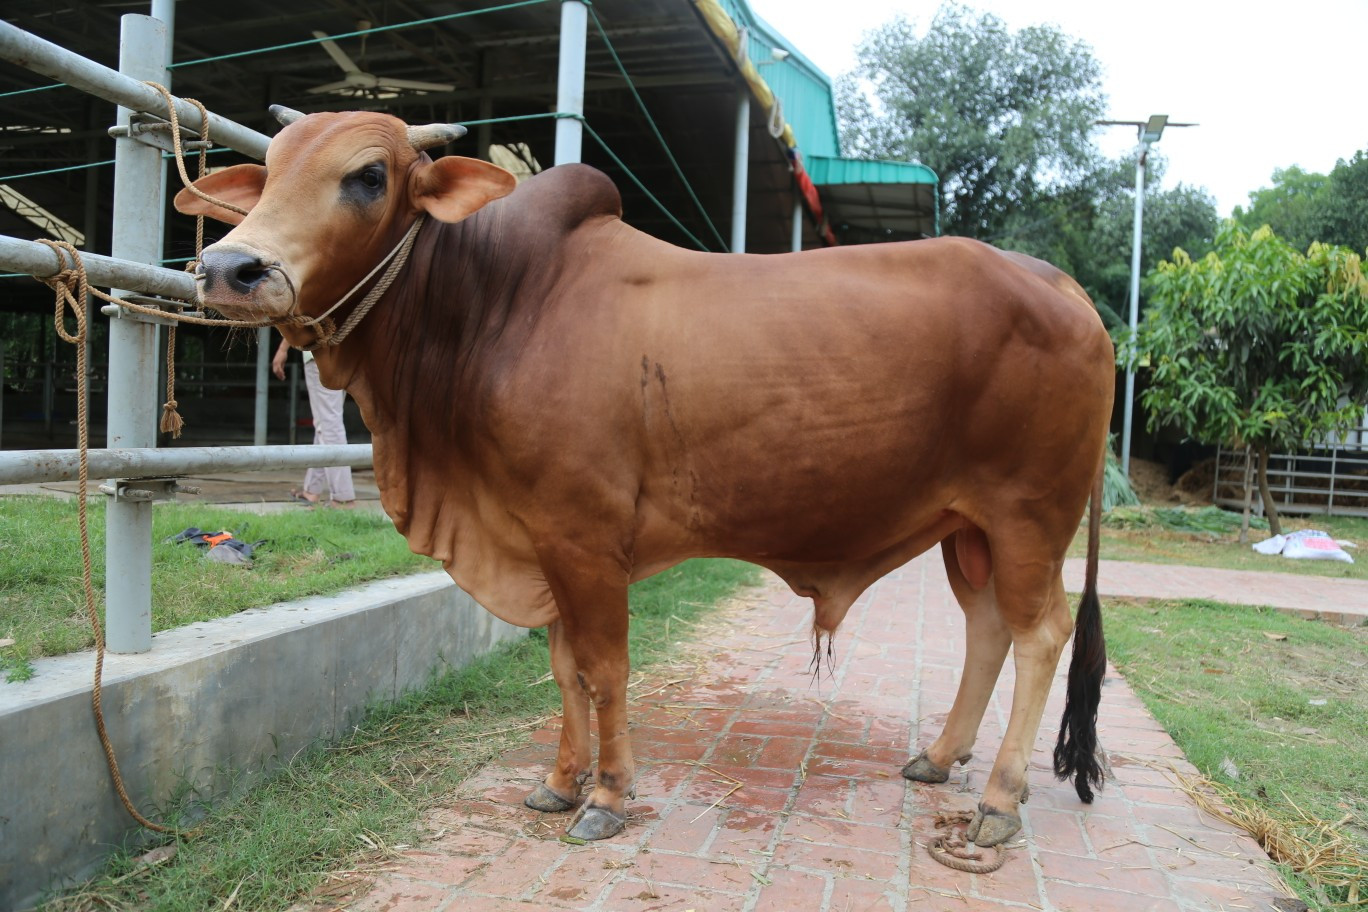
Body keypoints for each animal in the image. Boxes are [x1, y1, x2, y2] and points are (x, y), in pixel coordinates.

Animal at [176, 107, 1114, 847]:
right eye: (269, 172)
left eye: (368, 176)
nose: (229, 269)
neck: (492, 306)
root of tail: (1062, 285)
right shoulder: (538, 538)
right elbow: (562, 669)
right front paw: (559, 784)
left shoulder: (583, 538)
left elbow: (603, 669)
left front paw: (607, 797)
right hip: (969, 530)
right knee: (988, 631)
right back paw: (941, 758)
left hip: (1029, 517)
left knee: (1039, 636)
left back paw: (999, 800)